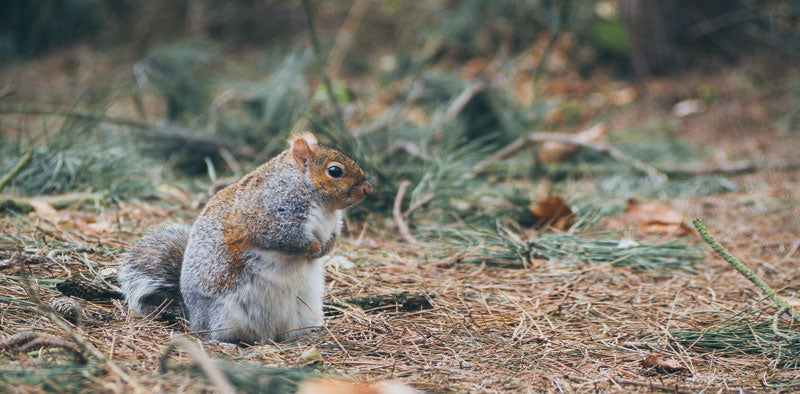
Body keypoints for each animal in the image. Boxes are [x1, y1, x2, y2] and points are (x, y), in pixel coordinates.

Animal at [118, 134, 372, 344]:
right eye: (335, 171)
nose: (368, 189)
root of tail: (193, 315)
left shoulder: (333, 225)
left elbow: (333, 236)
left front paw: (326, 248)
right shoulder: (268, 218)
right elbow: (288, 239)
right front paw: (313, 248)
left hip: (305, 310)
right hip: (223, 315)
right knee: (214, 334)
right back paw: (222, 342)